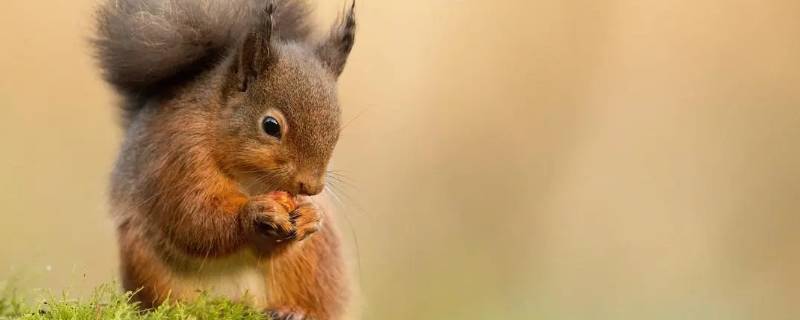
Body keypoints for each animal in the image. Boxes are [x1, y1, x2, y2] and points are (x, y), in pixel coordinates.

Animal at [90, 1, 356, 318]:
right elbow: (194, 218)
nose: (312, 187)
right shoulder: (177, 158)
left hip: (317, 267)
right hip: (144, 262)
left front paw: (310, 216)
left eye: (336, 128)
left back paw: (292, 310)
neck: (251, 180)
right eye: (271, 125)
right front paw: (255, 213)